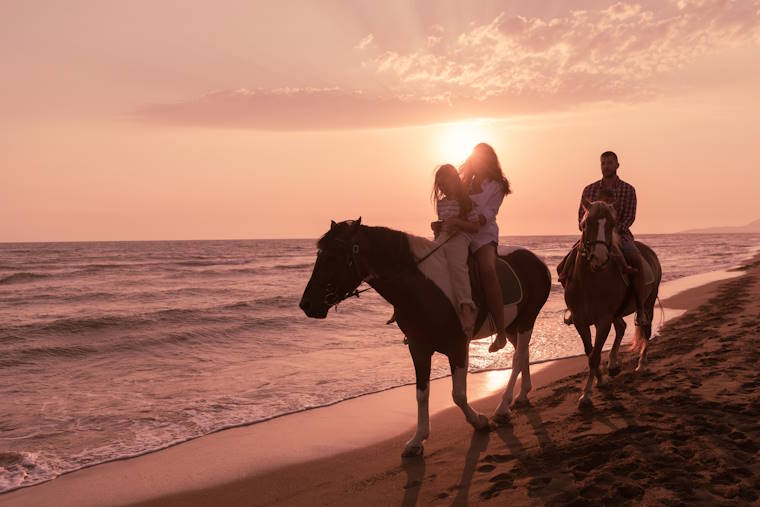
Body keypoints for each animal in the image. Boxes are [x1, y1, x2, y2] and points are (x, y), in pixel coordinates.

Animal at [300, 220, 548, 458]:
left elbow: (458, 394)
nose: (306, 304)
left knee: (517, 358)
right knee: (523, 353)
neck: (422, 288)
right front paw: (417, 440)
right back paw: (522, 395)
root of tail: (537, 261)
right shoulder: (418, 348)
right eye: (319, 255)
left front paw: (478, 421)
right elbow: (421, 394)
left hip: (527, 319)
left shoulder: (458, 347)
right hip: (512, 325)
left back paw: (502, 408)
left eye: (333, 257)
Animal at [564, 198, 660, 408]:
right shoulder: (580, 321)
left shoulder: (603, 320)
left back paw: (641, 364)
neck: (590, 283)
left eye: (612, 224)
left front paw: (587, 395)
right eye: (586, 223)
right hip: (617, 313)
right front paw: (600, 381)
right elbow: (590, 352)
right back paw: (614, 364)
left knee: (646, 329)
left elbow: (594, 356)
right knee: (622, 327)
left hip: (648, 302)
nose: (599, 257)